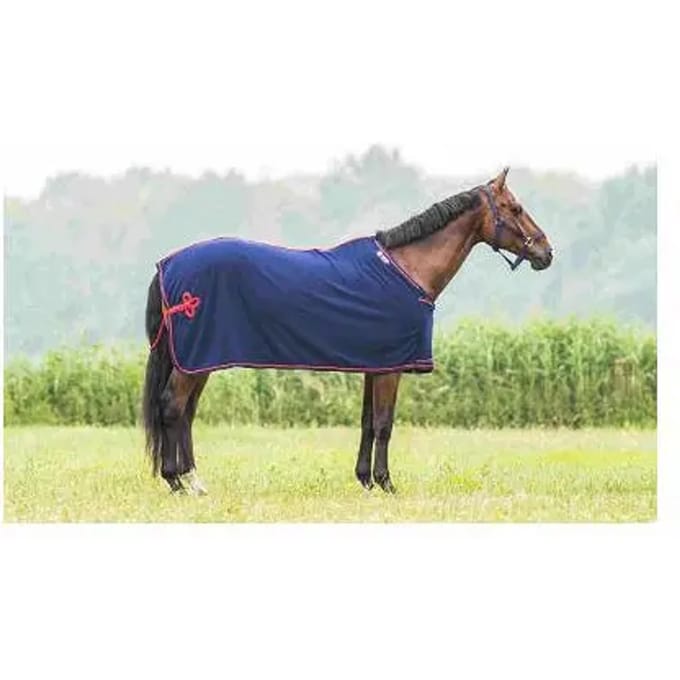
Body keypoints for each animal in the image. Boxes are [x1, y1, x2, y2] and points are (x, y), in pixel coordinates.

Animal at [142, 167, 553, 495]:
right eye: (515, 209)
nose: (547, 253)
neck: (408, 270)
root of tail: (167, 265)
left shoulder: (376, 364)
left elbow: (368, 422)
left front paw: (366, 480)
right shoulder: (391, 368)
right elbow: (385, 424)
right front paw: (387, 484)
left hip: (198, 360)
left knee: (185, 413)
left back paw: (194, 481)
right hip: (196, 359)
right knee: (173, 407)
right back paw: (176, 481)